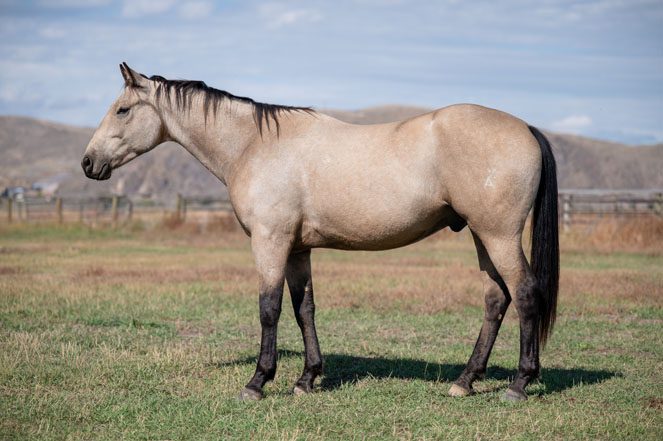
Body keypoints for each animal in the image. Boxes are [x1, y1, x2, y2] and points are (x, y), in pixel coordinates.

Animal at [82, 63, 559, 402]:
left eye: (122, 110)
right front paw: (308, 378)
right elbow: (303, 309)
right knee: (496, 300)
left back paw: (519, 384)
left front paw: (258, 381)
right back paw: (466, 380)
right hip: (483, 236)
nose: (88, 163)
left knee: (525, 294)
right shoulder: (297, 249)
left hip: (498, 236)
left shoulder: (270, 242)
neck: (254, 146)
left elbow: (269, 308)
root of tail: (527, 128)